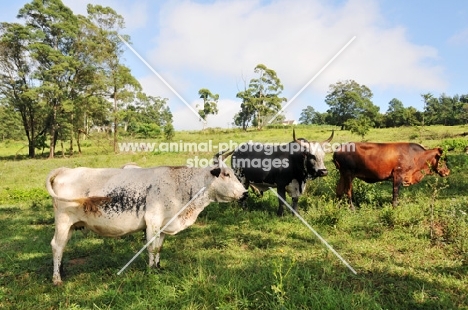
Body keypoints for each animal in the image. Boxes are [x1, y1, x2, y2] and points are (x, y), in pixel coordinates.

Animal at [45, 151, 247, 284]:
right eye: (226, 174)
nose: (245, 193)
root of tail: (65, 170)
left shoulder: (164, 225)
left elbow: (159, 248)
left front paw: (158, 267)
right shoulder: (153, 222)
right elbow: (151, 247)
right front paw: (151, 271)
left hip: (71, 225)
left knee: (62, 247)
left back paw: (62, 271)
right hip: (63, 222)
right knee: (57, 246)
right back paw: (57, 278)